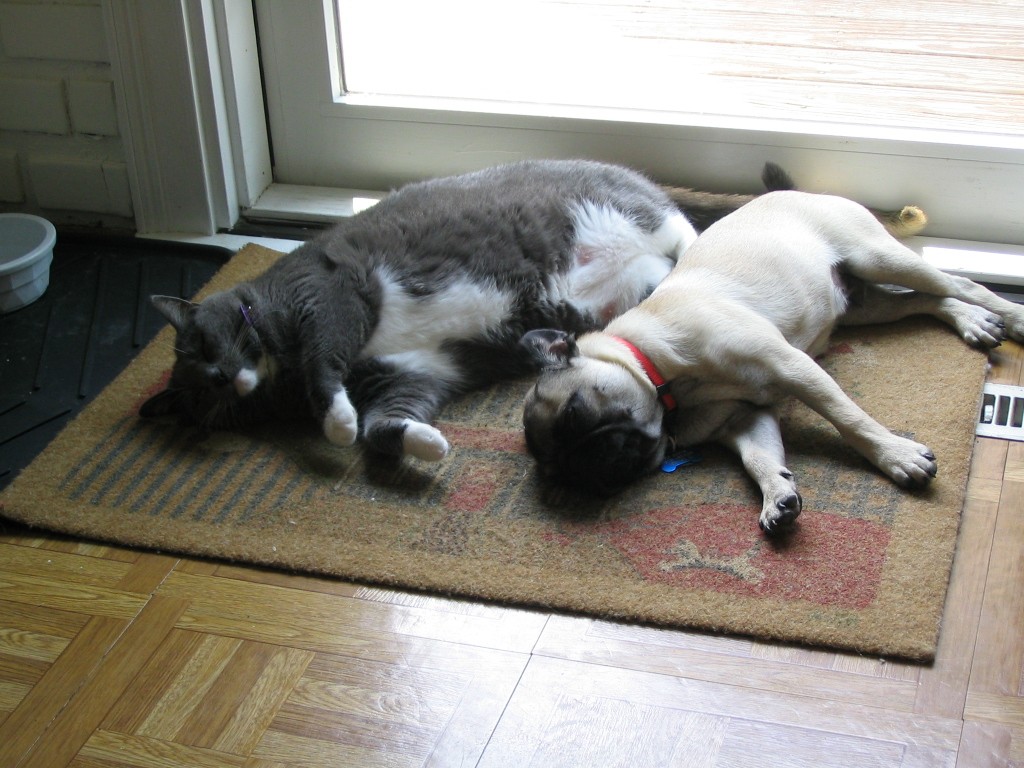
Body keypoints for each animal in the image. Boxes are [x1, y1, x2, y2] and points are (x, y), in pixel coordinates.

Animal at [140, 158, 786, 460]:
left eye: (205, 345)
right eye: (201, 395)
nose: (223, 376)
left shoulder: (331, 290)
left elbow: (325, 357)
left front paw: (336, 423)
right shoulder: (418, 373)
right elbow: (383, 423)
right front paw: (426, 444)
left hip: (629, 211)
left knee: (686, 233)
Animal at [520, 189, 1024, 532]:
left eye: (576, 413)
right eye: (563, 475)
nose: (591, 467)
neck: (662, 380)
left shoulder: (792, 367)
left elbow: (850, 419)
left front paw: (895, 456)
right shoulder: (745, 417)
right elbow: (760, 458)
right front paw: (777, 496)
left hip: (876, 256)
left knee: (959, 283)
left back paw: (1009, 316)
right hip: (863, 306)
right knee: (926, 300)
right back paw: (971, 321)